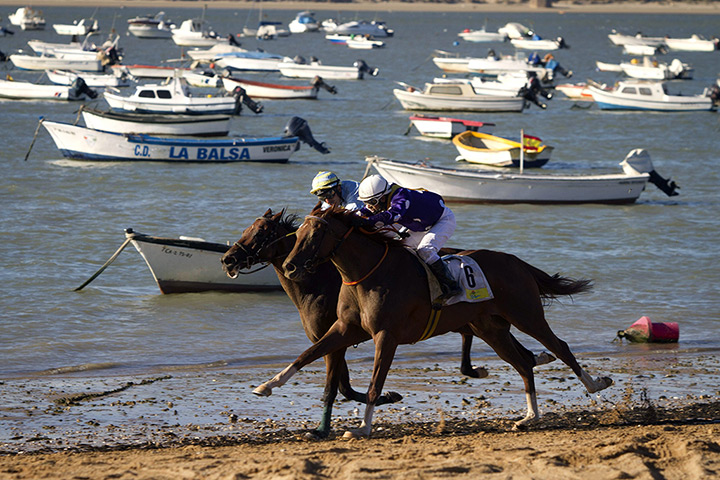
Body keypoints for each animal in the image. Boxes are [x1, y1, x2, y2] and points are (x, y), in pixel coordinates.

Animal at [219, 208, 492, 437]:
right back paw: (473, 369)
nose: (227, 259)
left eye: (260, 233)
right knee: (469, 334)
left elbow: (340, 387)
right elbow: (339, 382)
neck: (317, 283)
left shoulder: (339, 341)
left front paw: (382, 400)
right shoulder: (334, 336)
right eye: (246, 229)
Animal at [253, 205, 613, 438]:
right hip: (491, 328)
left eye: (316, 233)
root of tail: (517, 262)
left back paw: (595, 384)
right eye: (297, 233)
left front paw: (363, 427)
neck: (366, 273)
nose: (291, 266)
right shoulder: (344, 329)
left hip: (526, 315)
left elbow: (374, 384)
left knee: (559, 346)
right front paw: (267, 385)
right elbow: (307, 355)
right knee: (524, 363)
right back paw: (529, 417)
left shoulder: (386, 336)